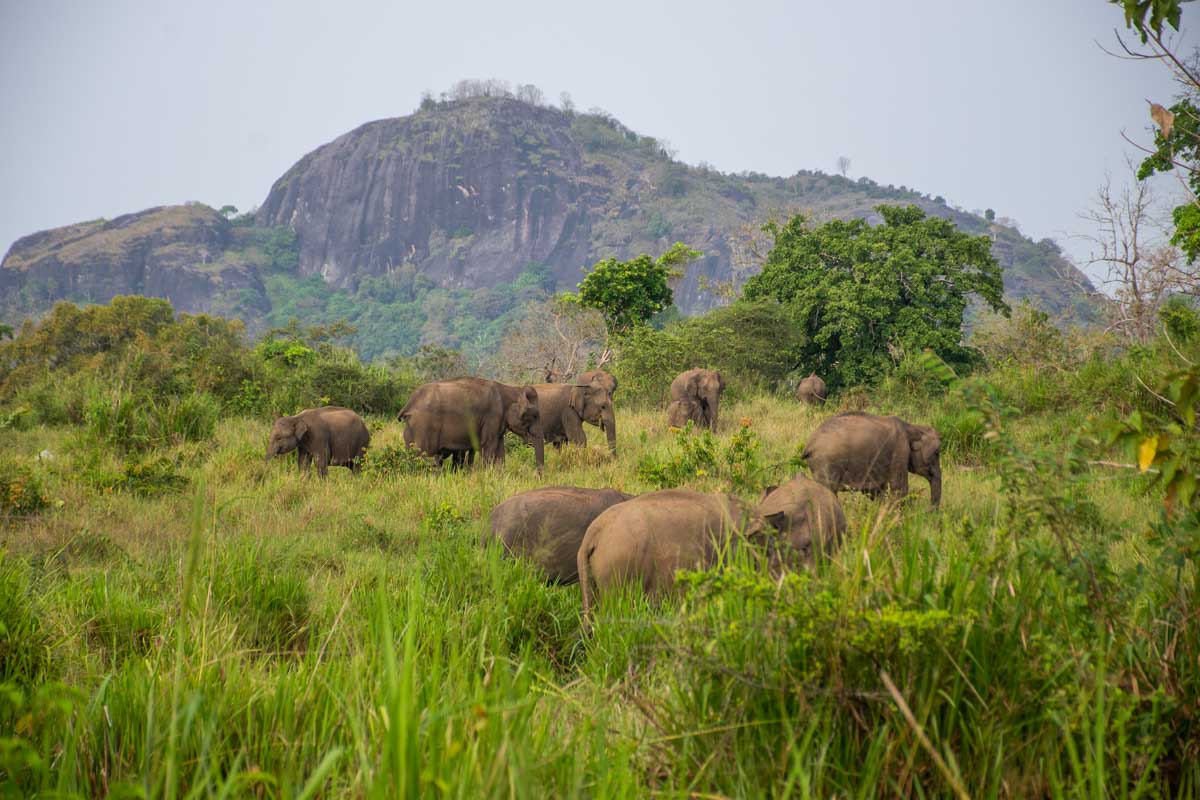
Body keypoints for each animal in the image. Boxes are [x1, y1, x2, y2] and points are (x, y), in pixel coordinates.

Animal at [399, 377, 545, 471]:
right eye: (534, 415)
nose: (538, 476)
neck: (510, 389)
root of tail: (408, 404)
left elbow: (499, 449)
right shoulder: (493, 416)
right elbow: (488, 446)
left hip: (411, 429)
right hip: (422, 428)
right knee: (422, 455)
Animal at [802, 412, 942, 507]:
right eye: (937, 453)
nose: (928, 511)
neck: (911, 427)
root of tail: (810, 444)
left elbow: (875, 491)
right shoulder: (900, 451)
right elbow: (899, 489)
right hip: (825, 463)